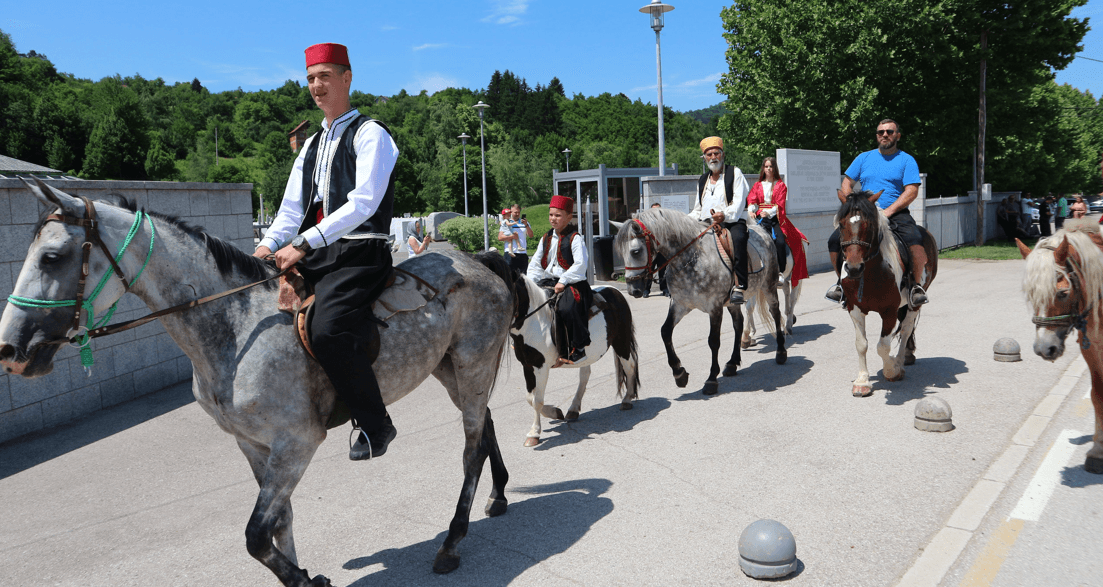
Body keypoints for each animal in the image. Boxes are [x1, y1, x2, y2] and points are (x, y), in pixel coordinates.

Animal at [0, 179, 513, 587]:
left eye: (52, 257)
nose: (10, 349)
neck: (236, 325)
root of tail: (477, 261)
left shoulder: (296, 443)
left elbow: (254, 535)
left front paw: (307, 580)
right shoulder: (252, 445)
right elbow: (279, 522)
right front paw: (302, 572)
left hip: (472, 366)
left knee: (471, 448)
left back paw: (451, 542)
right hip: (451, 370)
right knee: (487, 424)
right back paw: (499, 495)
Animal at [505, 272, 639, 447]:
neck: (535, 322)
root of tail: (615, 290)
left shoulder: (541, 366)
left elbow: (537, 400)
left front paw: (534, 433)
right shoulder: (527, 365)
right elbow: (530, 398)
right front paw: (555, 412)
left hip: (621, 341)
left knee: (629, 366)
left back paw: (627, 399)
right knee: (585, 375)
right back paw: (573, 409)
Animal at [613, 208, 785, 397]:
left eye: (635, 251)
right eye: (620, 253)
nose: (633, 290)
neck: (692, 258)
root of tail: (762, 231)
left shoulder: (714, 307)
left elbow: (713, 341)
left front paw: (711, 380)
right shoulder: (680, 305)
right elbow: (665, 332)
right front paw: (679, 373)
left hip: (769, 286)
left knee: (776, 314)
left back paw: (781, 352)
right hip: (732, 302)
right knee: (738, 324)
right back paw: (732, 363)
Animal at [1014, 222, 1103, 474]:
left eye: (1063, 292)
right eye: (1030, 294)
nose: (1044, 348)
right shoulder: (1092, 351)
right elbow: (1097, 395)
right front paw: (1098, 450)